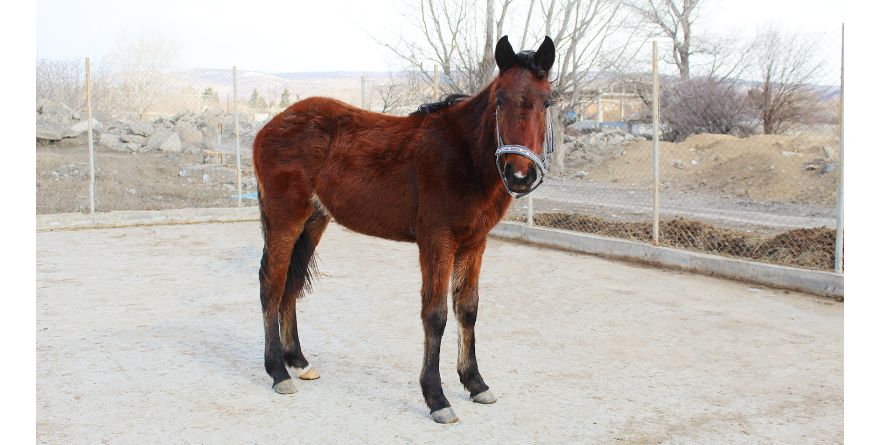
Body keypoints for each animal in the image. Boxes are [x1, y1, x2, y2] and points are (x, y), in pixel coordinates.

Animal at [251, 35, 556, 424]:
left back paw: (299, 363)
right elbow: (436, 315)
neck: (463, 155)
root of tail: (269, 127)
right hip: (285, 218)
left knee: (292, 284)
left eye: (547, 101)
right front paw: (437, 397)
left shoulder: (475, 243)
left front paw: (475, 382)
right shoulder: (437, 241)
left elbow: (468, 308)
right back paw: (278, 372)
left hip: (314, 221)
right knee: (272, 286)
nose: (519, 174)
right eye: (500, 100)